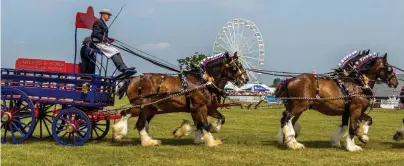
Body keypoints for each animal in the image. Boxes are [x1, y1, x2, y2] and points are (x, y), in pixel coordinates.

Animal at [112, 52, 248, 147]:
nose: (245, 79)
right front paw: (210, 141)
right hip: (142, 106)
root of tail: (133, 79)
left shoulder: (205, 108)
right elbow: (204, 124)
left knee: (136, 120)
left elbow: (215, 120)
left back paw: (143, 139)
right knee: (132, 118)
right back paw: (130, 136)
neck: (203, 82)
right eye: (235, 66)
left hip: (150, 108)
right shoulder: (201, 106)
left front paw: (190, 134)